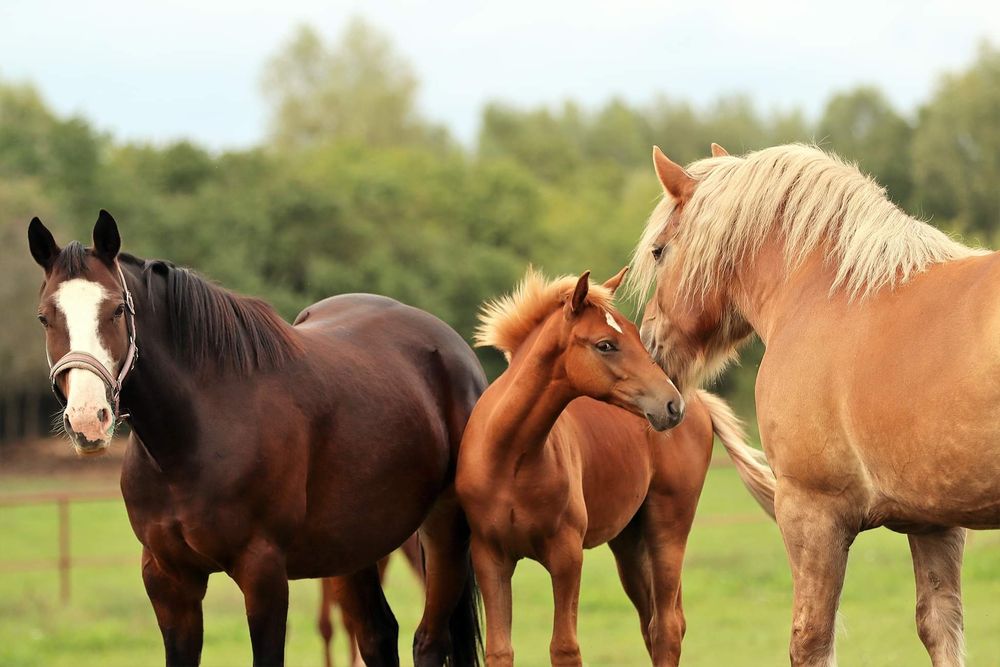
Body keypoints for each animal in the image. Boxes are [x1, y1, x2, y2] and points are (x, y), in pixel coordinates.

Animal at [458, 270, 776, 667]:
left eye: (636, 335)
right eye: (605, 344)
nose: (671, 405)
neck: (512, 458)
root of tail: (698, 401)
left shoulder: (567, 555)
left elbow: (565, 648)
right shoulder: (490, 556)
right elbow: (500, 650)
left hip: (668, 526)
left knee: (667, 627)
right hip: (629, 541)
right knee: (655, 623)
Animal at [632, 144, 1000, 664]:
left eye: (659, 250)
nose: (649, 344)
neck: (828, 292)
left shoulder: (812, 513)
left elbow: (810, 640)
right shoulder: (935, 523)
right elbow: (941, 629)